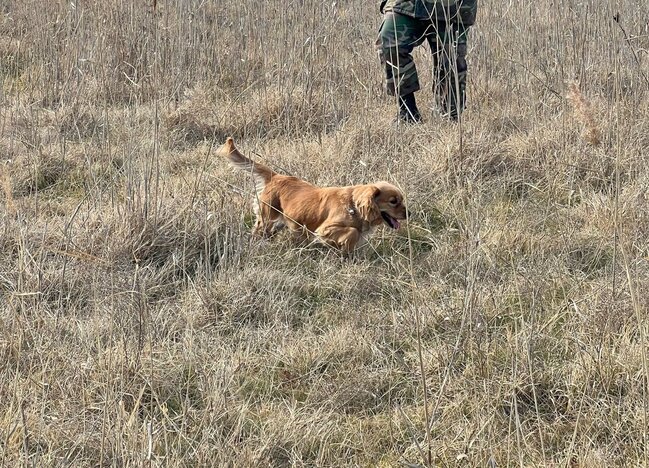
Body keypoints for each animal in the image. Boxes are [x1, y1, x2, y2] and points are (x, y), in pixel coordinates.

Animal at [220, 137, 408, 252]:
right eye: (393, 201)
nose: (409, 213)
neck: (353, 206)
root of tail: (276, 176)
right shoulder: (325, 229)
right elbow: (352, 232)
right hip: (267, 218)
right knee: (258, 231)